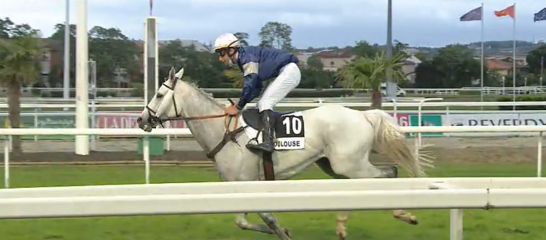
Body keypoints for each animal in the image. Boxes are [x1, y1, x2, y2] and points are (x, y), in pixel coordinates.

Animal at [137, 66, 434, 240]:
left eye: (160, 94)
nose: (142, 119)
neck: (226, 132)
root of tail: (364, 115)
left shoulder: (248, 183)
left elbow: (266, 218)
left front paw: (284, 232)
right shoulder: (237, 187)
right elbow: (244, 222)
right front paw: (285, 229)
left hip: (350, 165)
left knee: (389, 174)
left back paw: (403, 214)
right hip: (335, 166)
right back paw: (343, 225)